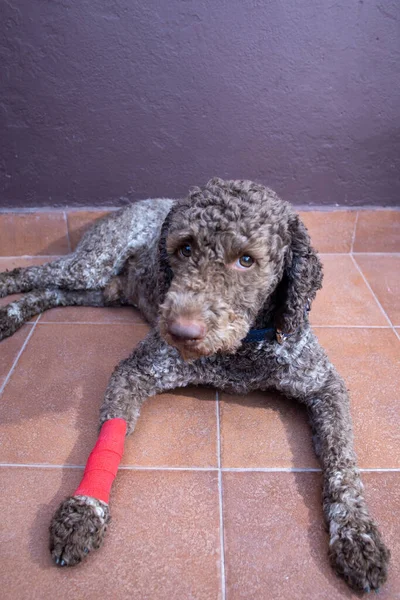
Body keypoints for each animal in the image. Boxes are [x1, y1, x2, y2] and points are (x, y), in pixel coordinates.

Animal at [0, 177, 388, 592]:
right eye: (185, 248)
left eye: (246, 259)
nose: (180, 331)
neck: (242, 349)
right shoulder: (135, 370)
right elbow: (108, 437)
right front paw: (85, 510)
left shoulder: (325, 385)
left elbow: (341, 461)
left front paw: (357, 533)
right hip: (91, 265)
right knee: (32, 274)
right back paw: (7, 304)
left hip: (102, 290)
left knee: (49, 292)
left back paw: (11, 315)